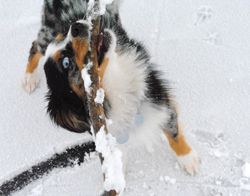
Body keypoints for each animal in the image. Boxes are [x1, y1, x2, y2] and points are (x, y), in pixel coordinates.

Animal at [23, 0, 199, 186]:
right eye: (65, 63)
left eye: (64, 35)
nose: (75, 26)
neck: (113, 86)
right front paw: (116, 177)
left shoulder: (157, 95)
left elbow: (173, 131)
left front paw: (188, 158)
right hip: (47, 31)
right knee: (36, 45)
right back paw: (29, 77)